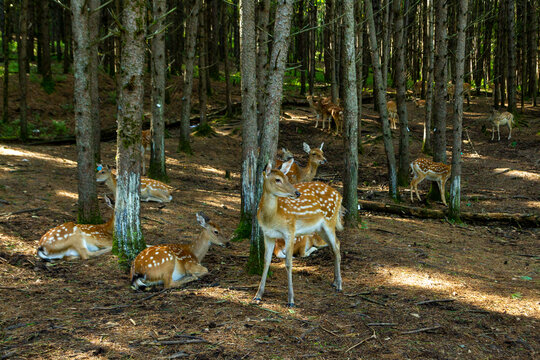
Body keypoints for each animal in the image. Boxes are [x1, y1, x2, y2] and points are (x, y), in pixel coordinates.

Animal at [254, 159, 346, 306]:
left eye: (287, 178)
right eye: (277, 179)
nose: (297, 193)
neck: (272, 218)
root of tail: (339, 196)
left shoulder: (290, 231)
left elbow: (288, 263)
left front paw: (291, 300)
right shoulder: (267, 234)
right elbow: (266, 261)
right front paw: (258, 295)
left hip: (329, 221)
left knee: (337, 246)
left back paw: (339, 285)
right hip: (320, 228)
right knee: (334, 245)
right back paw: (334, 282)